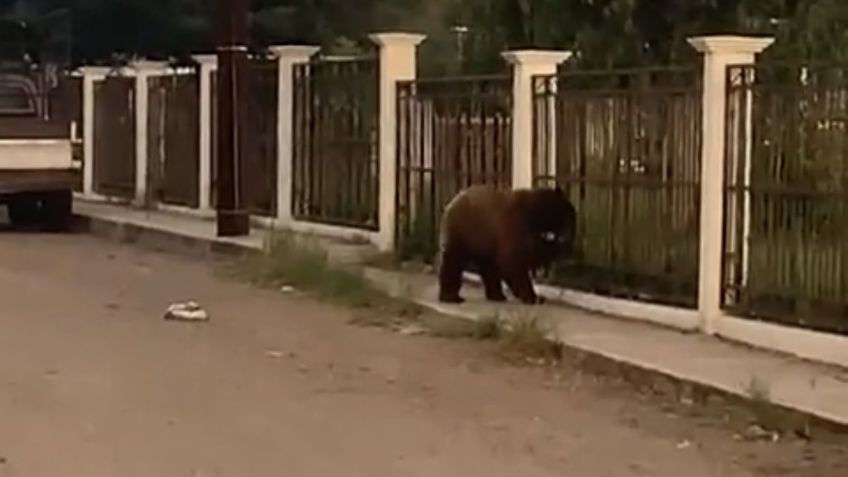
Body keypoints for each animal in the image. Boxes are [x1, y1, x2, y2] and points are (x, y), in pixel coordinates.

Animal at [436, 184, 577, 305]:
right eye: (568, 218)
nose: (569, 238)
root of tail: (452, 202)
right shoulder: (516, 225)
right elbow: (513, 262)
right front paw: (532, 297)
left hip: (484, 241)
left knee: (488, 267)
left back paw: (496, 295)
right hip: (462, 231)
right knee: (453, 260)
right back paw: (450, 297)